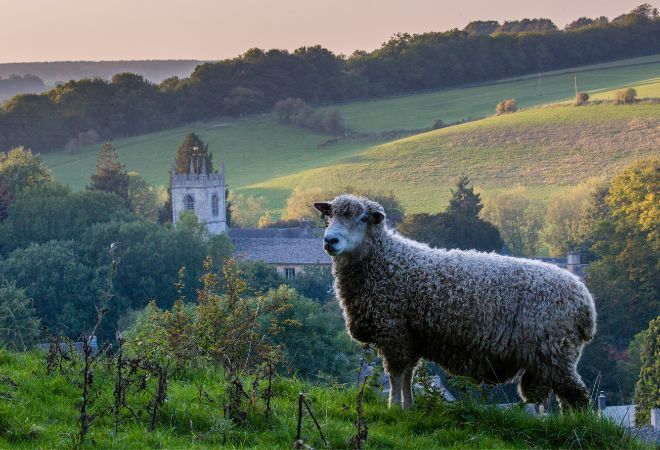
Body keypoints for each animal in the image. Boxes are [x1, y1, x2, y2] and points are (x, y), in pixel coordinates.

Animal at [314, 195, 597, 410]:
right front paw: (408, 408)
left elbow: (394, 375)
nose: (330, 241)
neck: (387, 262)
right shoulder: (410, 337)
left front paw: (393, 408)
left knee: (577, 397)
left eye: (363, 218)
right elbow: (408, 376)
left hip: (555, 353)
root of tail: (586, 301)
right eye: (330, 217)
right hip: (549, 357)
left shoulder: (393, 332)